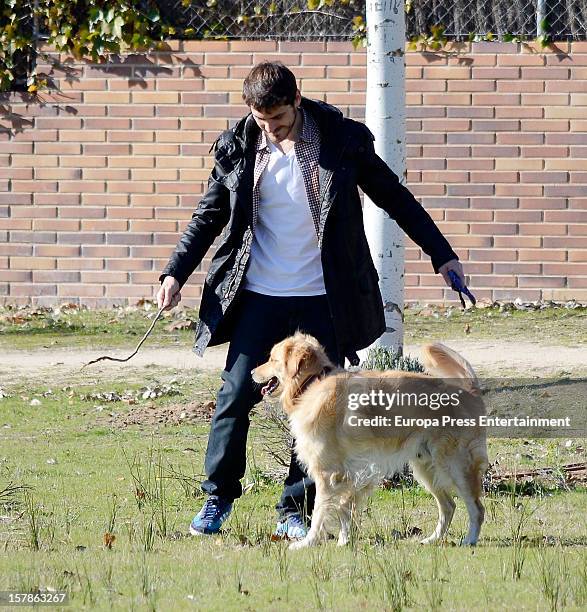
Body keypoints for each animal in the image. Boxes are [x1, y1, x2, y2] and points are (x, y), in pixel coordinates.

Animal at [253, 334, 486, 548]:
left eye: (272, 359)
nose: (252, 372)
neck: (313, 383)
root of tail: (469, 391)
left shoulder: (328, 474)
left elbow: (320, 512)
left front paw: (308, 542)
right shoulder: (350, 475)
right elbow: (344, 510)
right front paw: (344, 542)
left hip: (455, 465)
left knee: (477, 508)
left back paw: (470, 540)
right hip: (426, 467)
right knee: (449, 506)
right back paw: (433, 539)